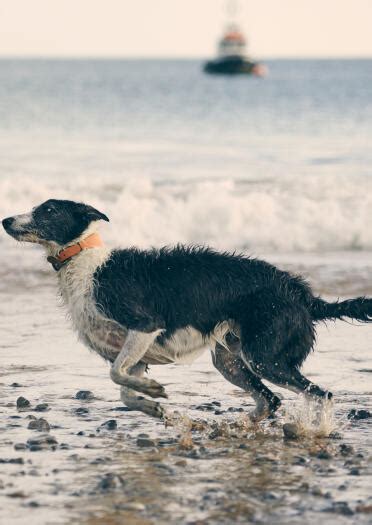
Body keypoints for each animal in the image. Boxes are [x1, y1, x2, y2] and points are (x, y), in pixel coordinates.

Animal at [2, 199, 372, 420]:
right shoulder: (136, 354)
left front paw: (154, 393)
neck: (86, 262)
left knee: (320, 395)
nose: (5, 220)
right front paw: (151, 403)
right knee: (270, 400)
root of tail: (304, 294)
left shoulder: (144, 325)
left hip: (265, 356)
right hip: (230, 360)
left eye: (48, 210)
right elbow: (124, 388)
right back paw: (243, 426)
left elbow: (116, 374)